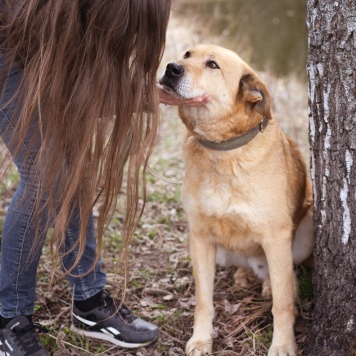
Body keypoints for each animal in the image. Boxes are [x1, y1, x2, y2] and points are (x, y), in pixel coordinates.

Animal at [160, 45, 312, 356]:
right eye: (187, 54)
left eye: (212, 65)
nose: (171, 67)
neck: (223, 151)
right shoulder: (200, 237)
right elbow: (203, 300)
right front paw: (201, 339)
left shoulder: (277, 237)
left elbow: (282, 304)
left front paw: (283, 345)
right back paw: (244, 275)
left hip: (306, 232)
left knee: (283, 276)